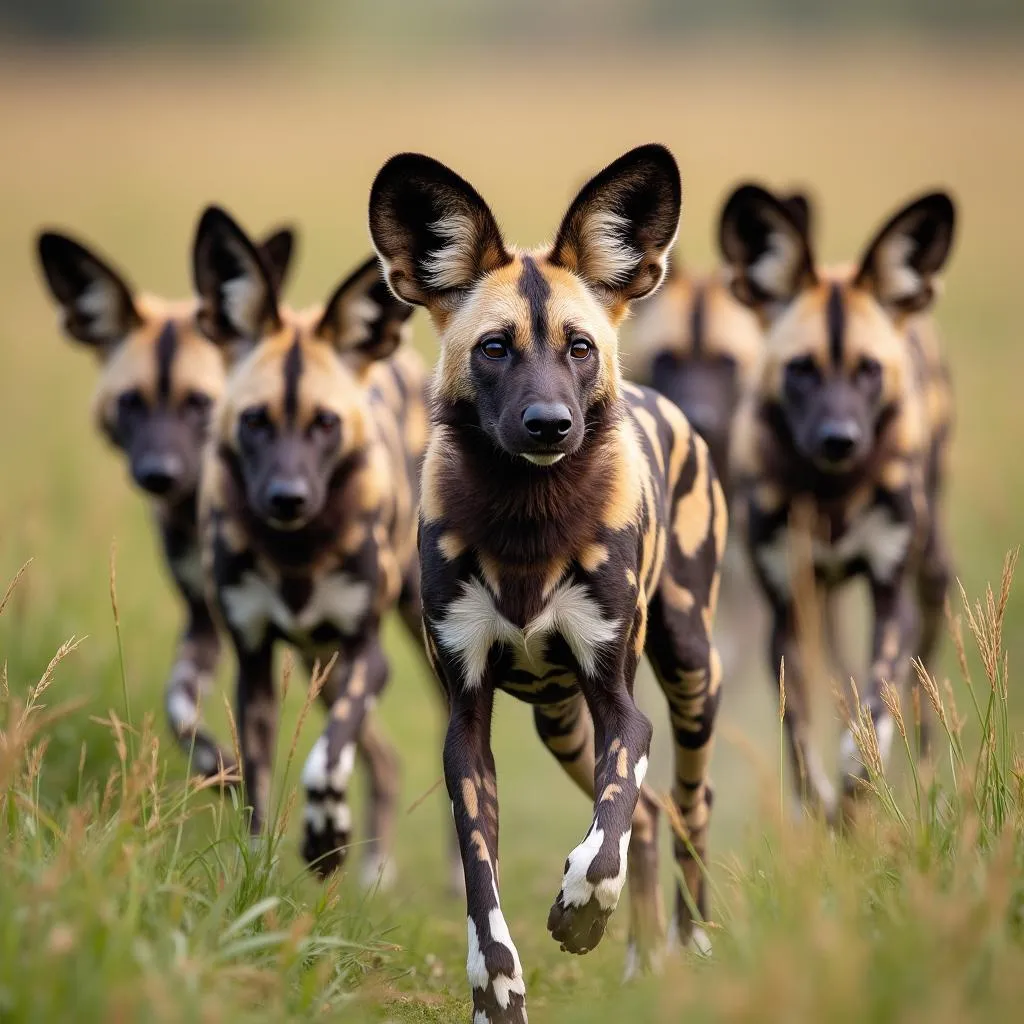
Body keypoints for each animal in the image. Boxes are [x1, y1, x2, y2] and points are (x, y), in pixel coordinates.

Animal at [36, 222, 292, 774]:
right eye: (131, 402)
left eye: (199, 403)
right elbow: (178, 709)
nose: (159, 474)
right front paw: (217, 765)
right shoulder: (206, 621)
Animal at [193, 205, 434, 888]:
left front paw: (326, 838)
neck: (296, 552)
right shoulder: (254, 665)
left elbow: (325, 762)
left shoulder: (365, 657)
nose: (288, 498)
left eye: (325, 423)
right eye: (254, 420)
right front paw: (259, 875)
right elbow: (256, 788)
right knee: (383, 759)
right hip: (315, 665)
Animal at [370, 146, 729, 1024]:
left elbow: (605, 837)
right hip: (560, 724)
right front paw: (495, 986)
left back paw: (690, 944)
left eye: (579, 348)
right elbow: (480, 878)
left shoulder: (623, 709)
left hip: (689, 677)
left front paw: (580, 910)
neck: (527, 519)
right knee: (654, 817)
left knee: (686, 807)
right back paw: (643, 957)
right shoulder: (467, 728)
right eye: (495, 347)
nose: (549, 425)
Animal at [720, 186, 950, 823]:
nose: (839, 440)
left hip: (932, 578)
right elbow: (798, 734)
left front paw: (860, 778)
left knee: (919, 686)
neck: (832, 493)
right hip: (819, 604)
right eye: (800, 369)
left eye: (868, 370)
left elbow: (879, 700)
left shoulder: (892, 597)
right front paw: (822, 804)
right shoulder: (787, 611)